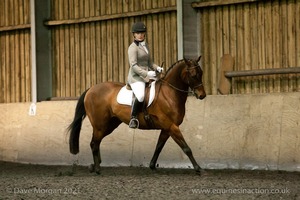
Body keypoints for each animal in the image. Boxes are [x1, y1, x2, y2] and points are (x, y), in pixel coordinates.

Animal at [68, 55, 206, 173]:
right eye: (193, 75)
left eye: (201, 73)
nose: (202, 95)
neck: (169, 93)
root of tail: (90, 89)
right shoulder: (172, 126)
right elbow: (186, 148)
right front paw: (198, 168)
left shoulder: (167, 128)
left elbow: (159, 147)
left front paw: (152, 166)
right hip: (100, 125)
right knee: (94, 143)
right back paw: (97, 168)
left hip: (109, 125)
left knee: (97, 142)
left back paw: (95, 165)